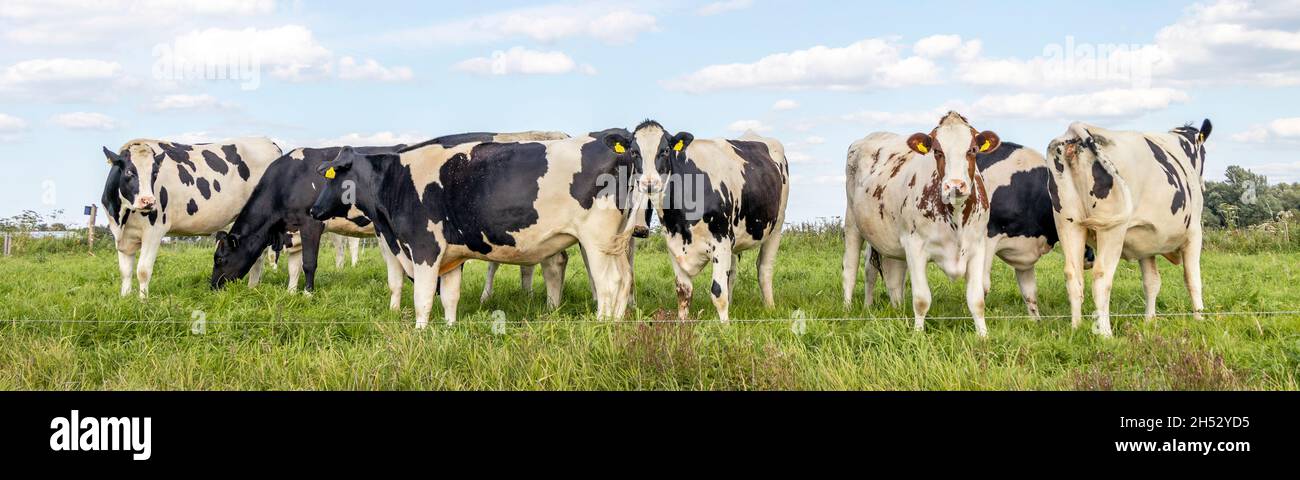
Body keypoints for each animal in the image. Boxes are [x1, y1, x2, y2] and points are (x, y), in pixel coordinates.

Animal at [101, 137, 281, 298]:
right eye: (129, 172)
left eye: (155, 173)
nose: (148, 201)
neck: (122, 217)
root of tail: (268, 141)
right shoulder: (122, 236)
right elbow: (125, 272)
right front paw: (125, 299)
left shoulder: (154, 231)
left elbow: (143, 271)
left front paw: (143, 302)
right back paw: (253, 288)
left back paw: (252, 287)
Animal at [308, 129, 643, 327]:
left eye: (332, 176)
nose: (313, 210)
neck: (398, 181)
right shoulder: (451, 255)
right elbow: (450, 296)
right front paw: (449, 329)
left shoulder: (425, 247)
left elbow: (423, 297)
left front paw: (420, 332)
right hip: (614, 242)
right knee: (625, 278)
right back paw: (617, 321)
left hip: (596, 240)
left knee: (609, 282)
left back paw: (603, 324)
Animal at [627, 120, 789, 323]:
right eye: (634, 152)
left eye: (665, 150)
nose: (649, 183)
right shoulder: (674, 245)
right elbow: (683, 291)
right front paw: (682, 324)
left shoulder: (721, 241)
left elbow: (718, 292)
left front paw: (725, 326)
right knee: (731, 274)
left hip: (776, 227)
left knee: (764, 270)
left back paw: (770, 308)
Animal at [842, 111, 999, 336]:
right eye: (938, 151)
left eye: (972, 150)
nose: (955, 186)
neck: (956, 219)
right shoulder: (914, 246)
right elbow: (922, 299)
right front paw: (918, 334)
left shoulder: (977, 247)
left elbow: (976, 300)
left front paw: (983, 336)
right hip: (852, 223)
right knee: (850, 269)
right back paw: (847, 310)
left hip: (887, 240)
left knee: (884, 274)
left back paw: (886, 309)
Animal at [1046, 119, 1212, 337]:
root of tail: (1076, 131)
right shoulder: (1194, 233)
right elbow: (1193, 279)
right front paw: (1200, 319)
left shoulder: (1146, 244)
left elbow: (1152, 282)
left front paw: (1149, 321)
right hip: (1113, 229)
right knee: (1101, 277)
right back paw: (1105, 334)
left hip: (1068, 223)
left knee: (1073, 277)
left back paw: (1076, 328)